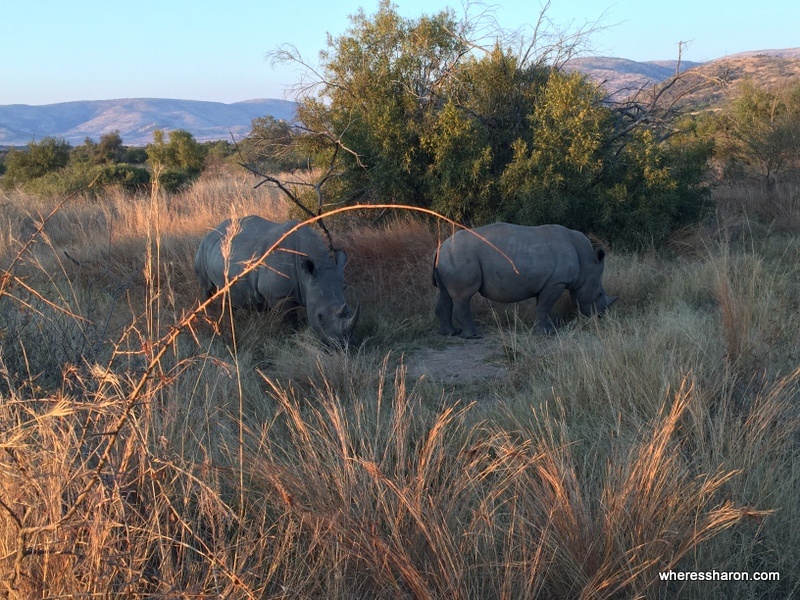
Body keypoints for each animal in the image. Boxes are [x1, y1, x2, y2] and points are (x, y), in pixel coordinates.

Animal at [194, 217, 360, 346]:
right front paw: (291, 340)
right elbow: (289, 322)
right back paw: (210, 320)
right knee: (207, 289)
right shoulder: (280, 295)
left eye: (349, 311)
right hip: (202, 249)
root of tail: (212, 231)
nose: (340, 345)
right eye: (319, 316)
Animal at [432, 225, 620, 338]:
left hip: (448, 257)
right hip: (460, 255)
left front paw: (543, 329)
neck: (587, 262)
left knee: (445, 294)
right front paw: (547, 333)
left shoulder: (547, 282)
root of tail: (439, 248)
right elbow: (545, 306)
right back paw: (473, 335)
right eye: (599, 293)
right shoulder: (557, 281)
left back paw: (450, 333)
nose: (600, 316)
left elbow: (541, 306)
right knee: (463, 297)